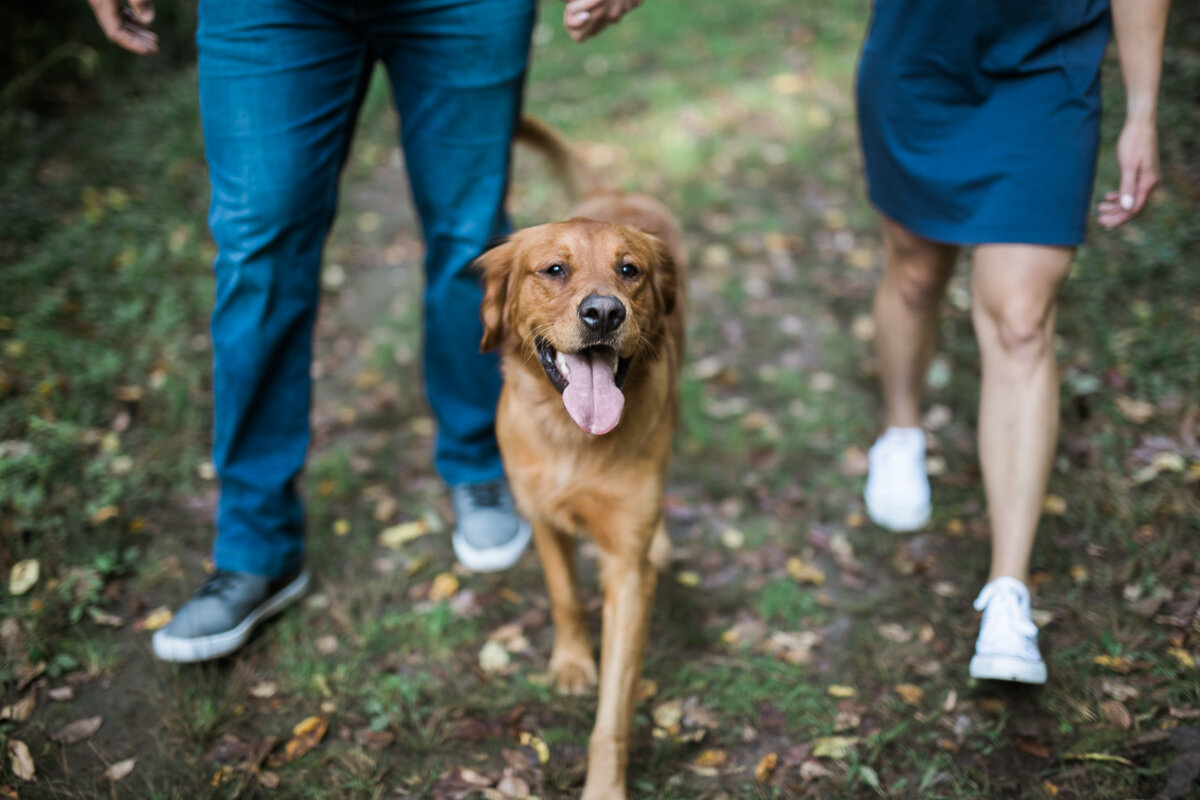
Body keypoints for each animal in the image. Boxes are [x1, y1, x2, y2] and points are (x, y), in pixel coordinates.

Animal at [475, 117, 686, 800]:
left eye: (629, 270)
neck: (573, 438)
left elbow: (614, 713)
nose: (603, 312)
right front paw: (571, 664)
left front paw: (604, 785)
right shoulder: (541, 515)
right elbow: (565, 595)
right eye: (554, 269)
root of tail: (610, 189)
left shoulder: (626, 569)